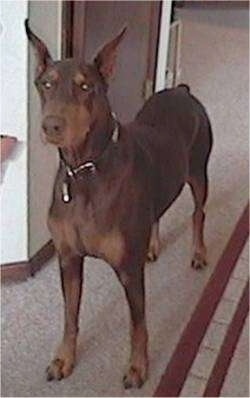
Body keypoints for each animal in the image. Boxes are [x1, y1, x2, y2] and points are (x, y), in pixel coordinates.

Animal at [25, 21, 213, 388]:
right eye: (46, 83)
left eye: (86, 86)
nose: (51, 126)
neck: (85, 170)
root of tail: (182, 90)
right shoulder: (68, 259)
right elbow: (70, 315)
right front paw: (64, 359)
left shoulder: (128, 270)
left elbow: (137, 325)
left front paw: (138, 368)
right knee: (156, 213)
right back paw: (152, 245)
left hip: (198, 172)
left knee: (198, 213)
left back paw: (198, 252)